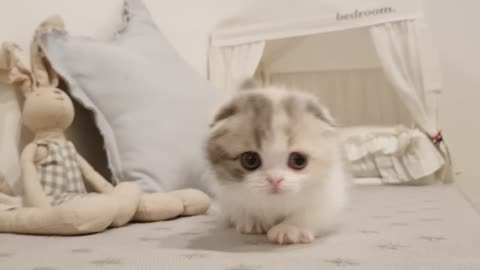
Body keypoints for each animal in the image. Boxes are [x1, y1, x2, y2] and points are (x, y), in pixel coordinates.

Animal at [205, 81, 348, 244]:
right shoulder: (227, 194)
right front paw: (252, 219)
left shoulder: (330, 195)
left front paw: (290, 228)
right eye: (250, 160)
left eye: (299, 160)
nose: (275, 179)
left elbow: (312, 212)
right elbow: (238, 205)